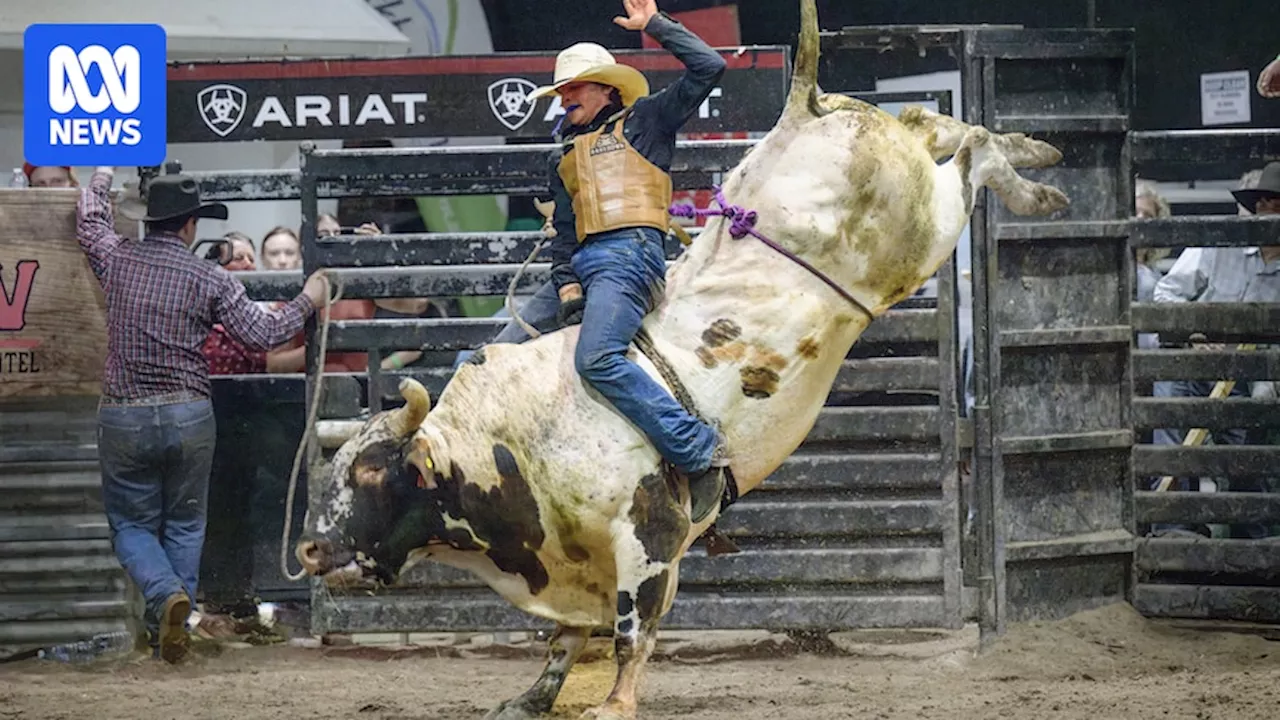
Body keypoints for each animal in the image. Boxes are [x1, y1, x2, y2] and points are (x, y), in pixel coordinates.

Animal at [296, 2, 1070, 712]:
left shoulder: (648, 538)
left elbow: (631, 631)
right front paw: (532, 697)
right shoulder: (575, 566)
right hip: (904, 171)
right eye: (334, 467)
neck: (510, 447)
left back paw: (1038, 180)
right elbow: (567, 638)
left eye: (371, 471)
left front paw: (615, 702)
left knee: (972, 156)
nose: (308, 550)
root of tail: (801, 111)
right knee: (930, 123)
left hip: (924, 227)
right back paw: (1034, 154)